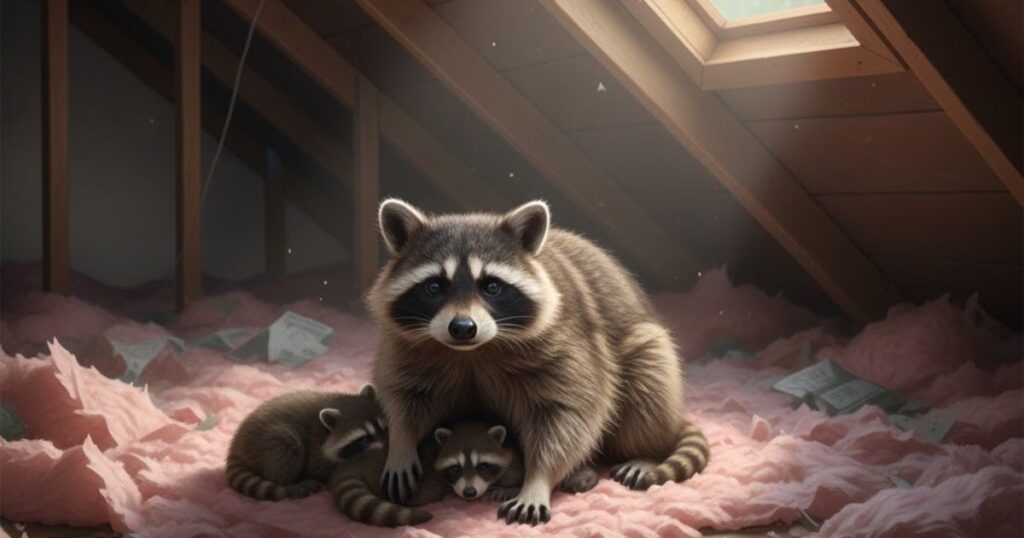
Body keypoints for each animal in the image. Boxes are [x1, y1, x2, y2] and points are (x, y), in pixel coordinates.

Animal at [225, 387, 384, 502]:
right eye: (364, 440)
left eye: (385, 429)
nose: (387, 449)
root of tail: (237, 446)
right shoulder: (315, 445)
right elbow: (319, 466)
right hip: (270, 441)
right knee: (287, 449)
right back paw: (289, 484)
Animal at [367, 199, 710, 525]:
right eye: (434, 286)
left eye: (492, 286)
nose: (463, 328)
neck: (473, 351)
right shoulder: (405, 346)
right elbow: (404, 395)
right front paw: (401, 442)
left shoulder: (567, 342)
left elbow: (568, 416)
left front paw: (537, 481)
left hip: (643, 347)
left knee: (649, 377)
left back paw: (645, 452)